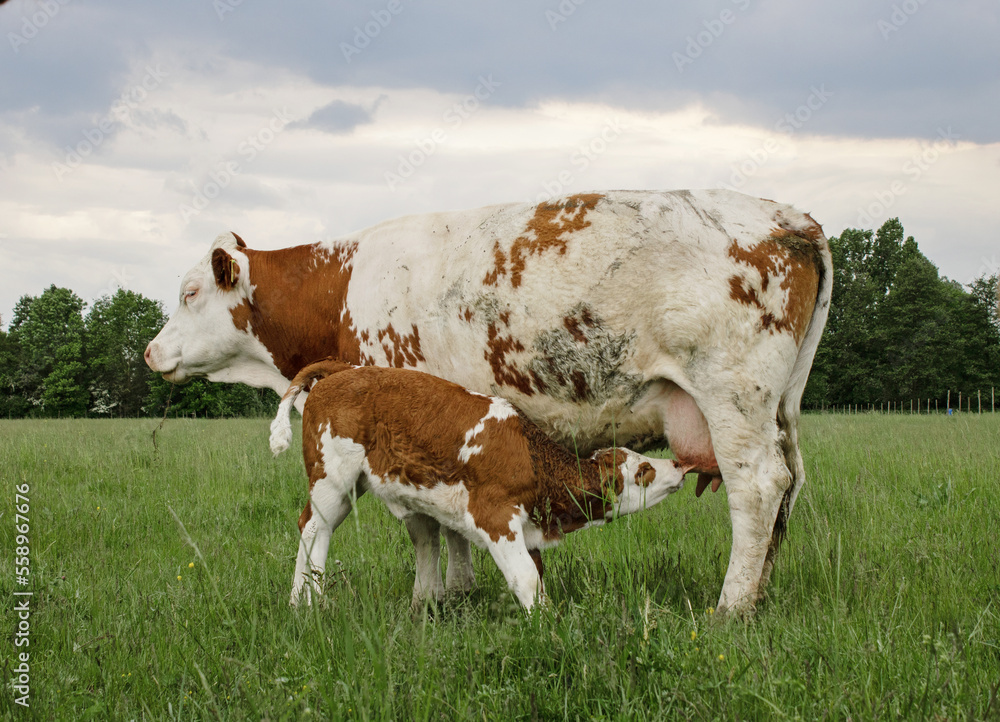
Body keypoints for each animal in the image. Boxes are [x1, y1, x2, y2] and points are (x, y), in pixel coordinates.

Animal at [266, 358, 688, 608]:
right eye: (644, 471)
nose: (678, 465)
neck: (530, 456)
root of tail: (344, 370)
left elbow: (536, 579)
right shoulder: (495, 516)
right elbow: (525, 579)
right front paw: (544, 631)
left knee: (314, 528)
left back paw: (302, 599)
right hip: (331, 478)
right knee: (313, 529)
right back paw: (307, 601)